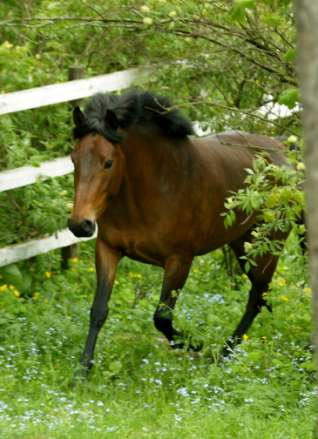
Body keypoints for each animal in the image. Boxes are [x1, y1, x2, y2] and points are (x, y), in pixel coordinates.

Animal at [68, 89, 290, 372]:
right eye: (73, 159)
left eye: (108, 162)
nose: (79, 224)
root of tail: (281, 149)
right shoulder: (108, 249)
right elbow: (98, 309)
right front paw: (83, 370)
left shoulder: (179, 260)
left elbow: (162, 317)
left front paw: (199, 346)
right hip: (243, 245)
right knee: (260, 295)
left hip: (267, 246)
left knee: (257, 295)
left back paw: (224, 353)